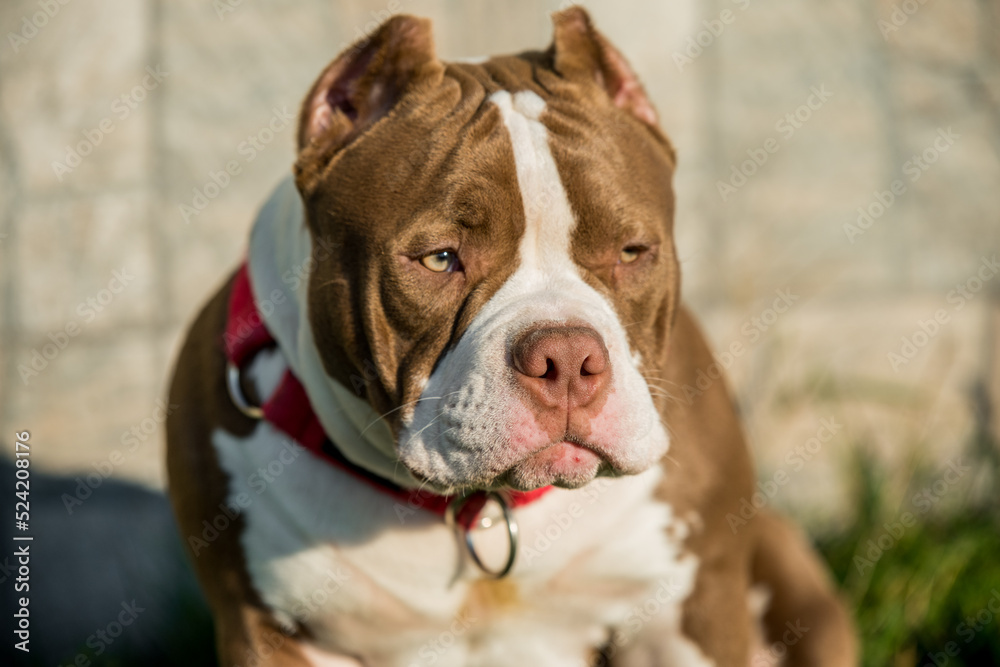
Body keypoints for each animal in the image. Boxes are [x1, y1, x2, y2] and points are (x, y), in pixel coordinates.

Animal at [168, 6, 856, 667]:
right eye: (441, 258)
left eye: (632, 251)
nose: (568, 358)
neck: (480, 512)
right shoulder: (267, 631)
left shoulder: (690, 605)